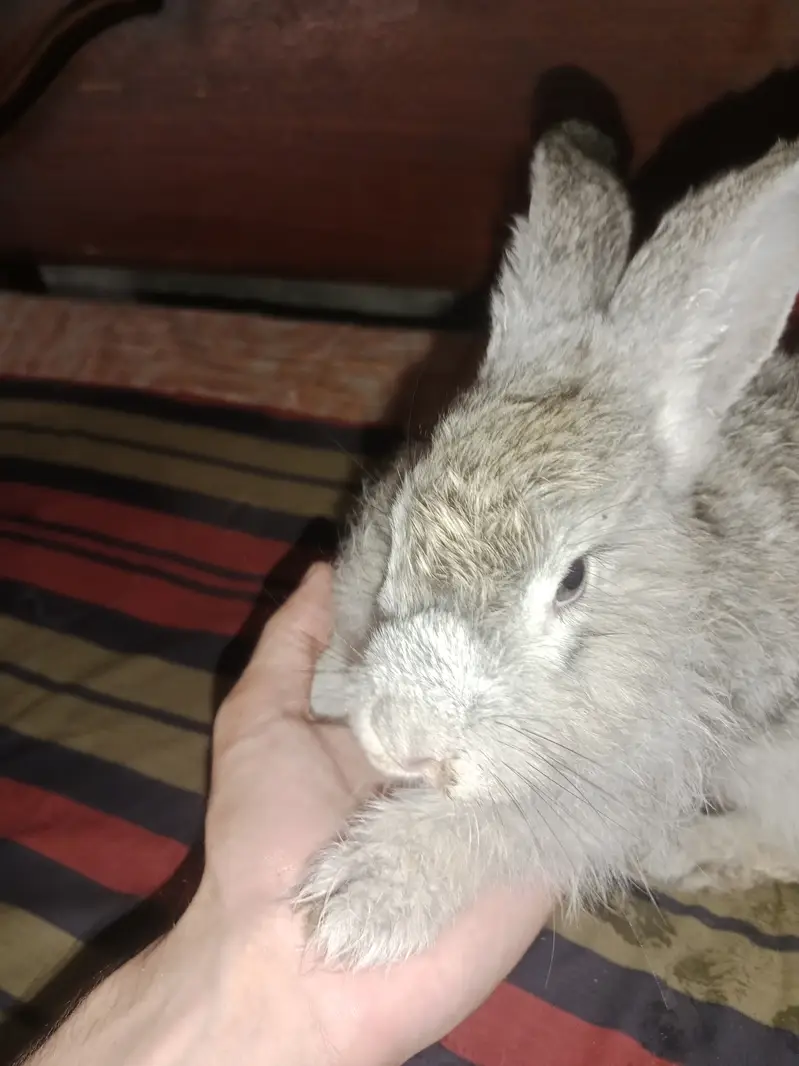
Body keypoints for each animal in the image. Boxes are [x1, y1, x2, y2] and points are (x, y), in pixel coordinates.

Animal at [293, 119, 799, 970]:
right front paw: (330, 684)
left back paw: (683, 856)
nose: (407, 739)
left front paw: (367, 895)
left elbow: (522, 823)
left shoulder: (641, 766)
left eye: (572, 580)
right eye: (399, 518)